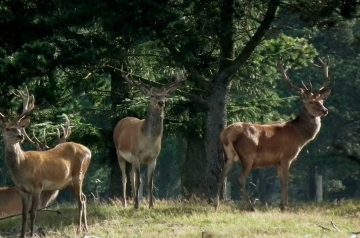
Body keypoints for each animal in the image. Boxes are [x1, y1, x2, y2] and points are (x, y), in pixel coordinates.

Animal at [0, 88, 91, 237]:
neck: (22, 167)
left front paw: (31, 234)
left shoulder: (37, 186)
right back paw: (85, 228)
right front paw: (22, 235)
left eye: (19, 127)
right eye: (7, 128)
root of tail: (88, 151)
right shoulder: (22, 190)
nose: (20, 136)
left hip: (79, 174)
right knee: (83, 197)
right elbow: (24, 214)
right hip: (71, 181)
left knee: (80, 200)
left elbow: (33, 213)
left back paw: (79, 229)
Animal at [113, 72, 183, 208]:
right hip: (119, 154)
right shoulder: (136, 155)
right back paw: (126, 204)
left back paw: (134, 201)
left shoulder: (153, 158)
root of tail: (121, 121)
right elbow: (139, 181)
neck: (148, 141)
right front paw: (136, 205)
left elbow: (150, 182)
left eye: (165, 95)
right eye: (152, 95)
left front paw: (150, 205)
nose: (161, 102)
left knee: (132, 176)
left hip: (132, 160)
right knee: (124, 178)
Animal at [217, 59, 332, 210]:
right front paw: (286, 207)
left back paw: (216, 205)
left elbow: (281, 181)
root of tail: (226, 134)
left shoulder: (277, 161)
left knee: (221, 175)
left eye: (322, 101)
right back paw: (251, 207)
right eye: (311, 102)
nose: (325, 110)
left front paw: (282, 205)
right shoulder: (286, 157)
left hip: (229, 156)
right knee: (240, 179)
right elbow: (286, 182)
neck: (299, 136)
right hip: (248, 155)